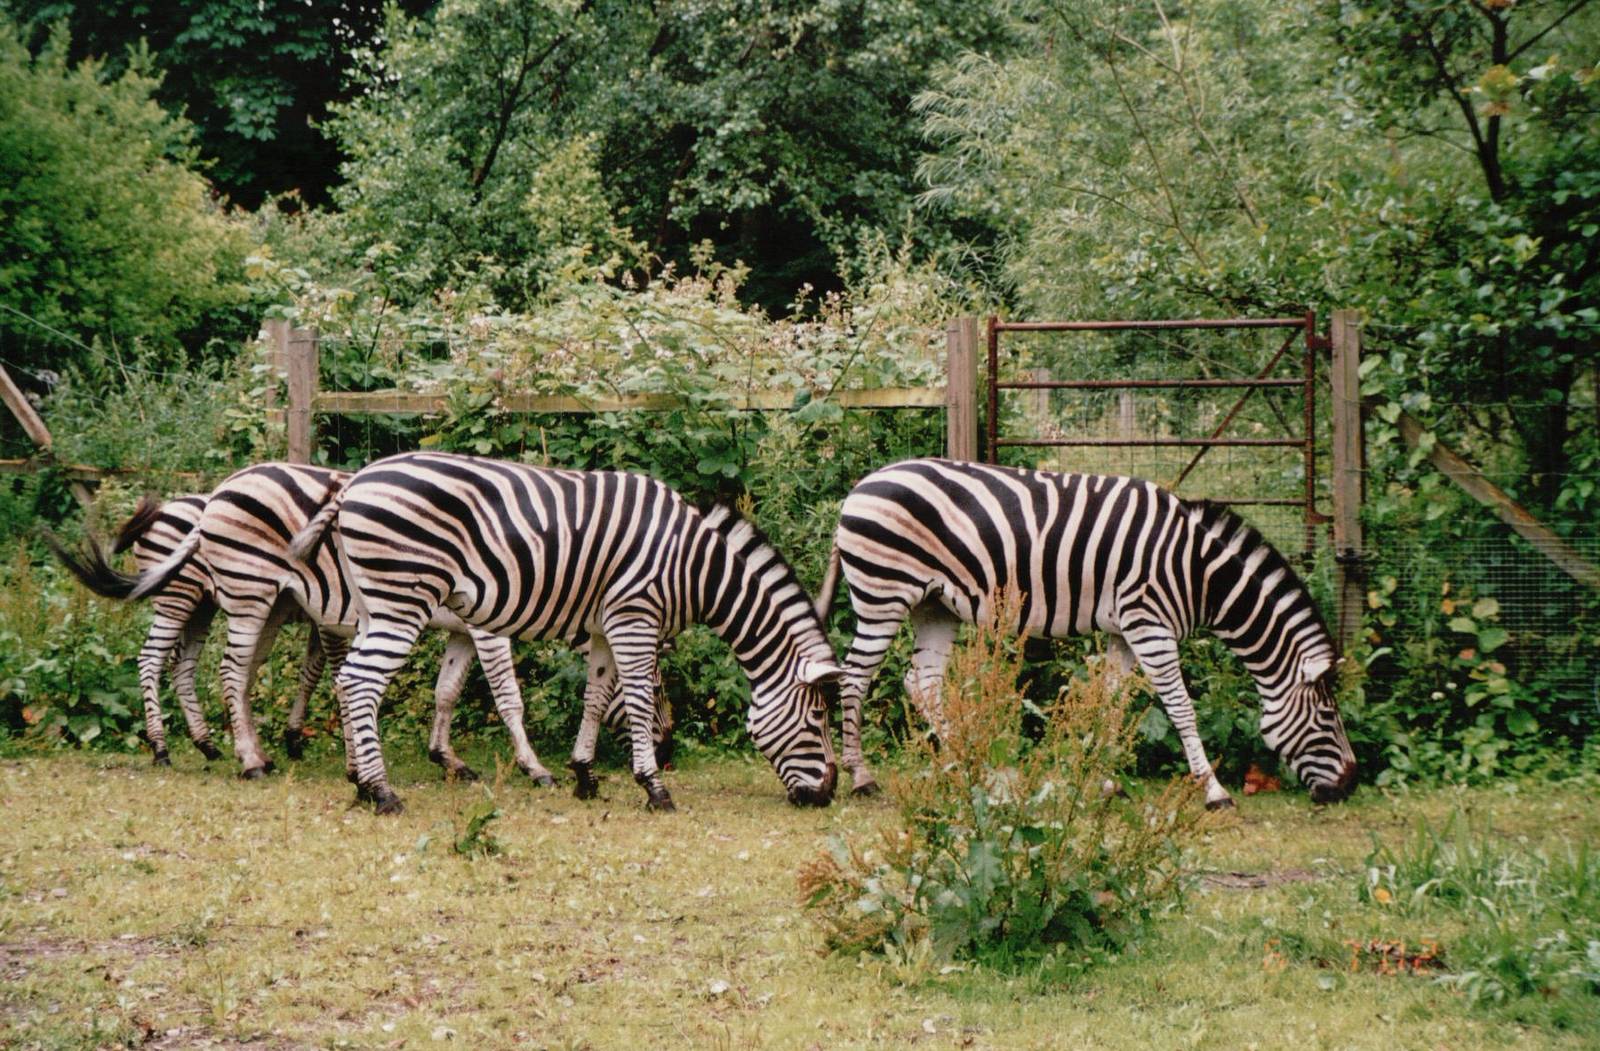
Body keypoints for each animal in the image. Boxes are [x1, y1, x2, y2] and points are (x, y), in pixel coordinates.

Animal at [51, 464, 663, 784]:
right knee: (164, 660)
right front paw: (534, 767)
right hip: (194, 595)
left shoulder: (458, 628)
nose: (668, 747)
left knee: (204, 668)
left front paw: (447, 758)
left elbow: (444, 692)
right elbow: (506, 697)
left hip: (229, 602)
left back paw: (219, 747)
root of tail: (208, 497)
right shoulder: (485, 628)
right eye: (650, 690)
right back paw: (178, 749)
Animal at [286, 450, 844, 814]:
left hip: (374, 606)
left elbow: (595, 698)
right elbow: (633, 701)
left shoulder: (604, 626)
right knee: (360, 682)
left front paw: (584, 776)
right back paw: (382, 793)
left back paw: (361, 784)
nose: (827, 795)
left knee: (346, 681)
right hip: (401, 601)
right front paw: (653, 787)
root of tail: (356, 482)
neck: (694, 565)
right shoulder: (635, 617)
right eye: (817, 719)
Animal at [815, 458, 1357, 809]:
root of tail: (859, 487)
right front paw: (1214, 790)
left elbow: (1111, 703)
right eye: (1327, 717)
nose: (1349, 785)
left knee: (921, 684)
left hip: (934, 606)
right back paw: (861, 776)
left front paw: (1103, 781)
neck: (1199, 572)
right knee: (855, 678)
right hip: (883, 594)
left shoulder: (1126, 631)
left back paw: (968, 768)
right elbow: (1180, 708)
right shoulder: (1150, 622)